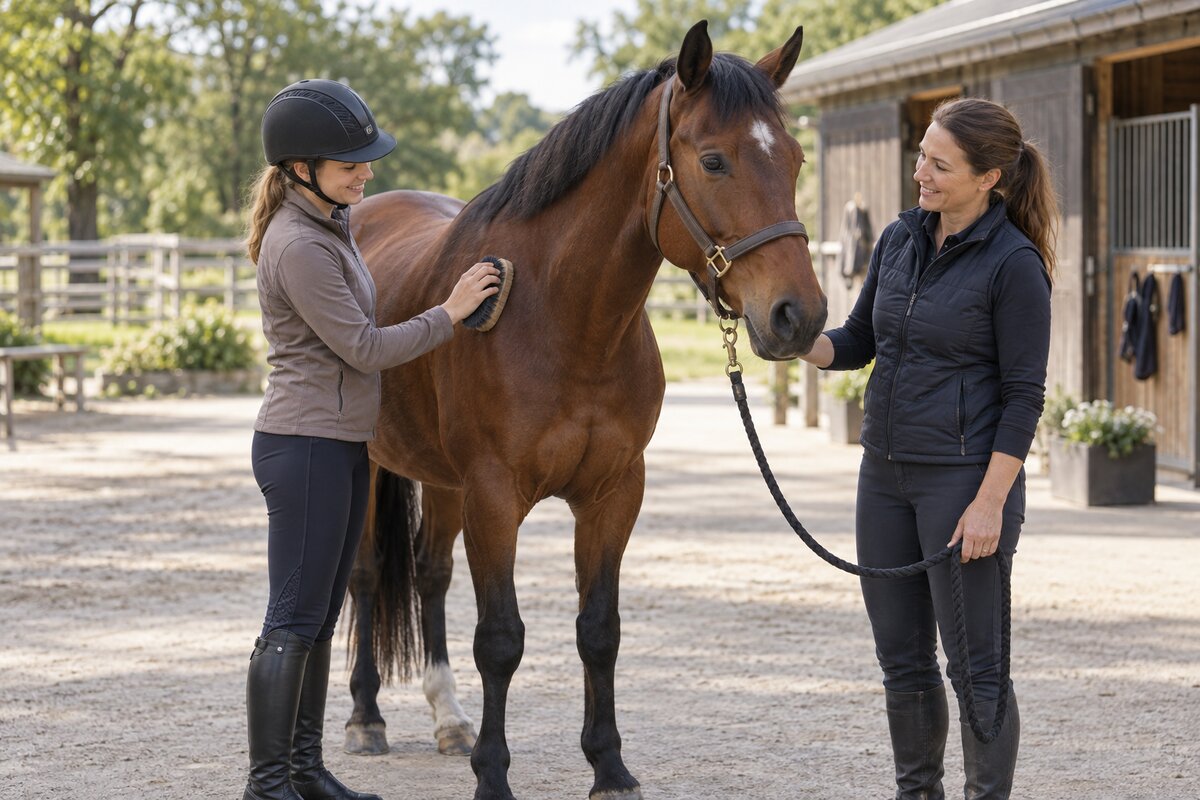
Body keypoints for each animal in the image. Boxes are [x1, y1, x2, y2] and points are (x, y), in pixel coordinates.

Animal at [343, 20, 827, 800]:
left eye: (795, 158)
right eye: (714, 160)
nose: (799, 316)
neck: (563, 317)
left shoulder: (613, 492)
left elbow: (599, 630)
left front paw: (610, 767)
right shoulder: (494, 496)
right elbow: (501, 640)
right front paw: (493, 775)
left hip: (442, 482)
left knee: (427, 573)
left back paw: (449, 720)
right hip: (369, 465)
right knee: (362, 577)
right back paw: (365, 720)